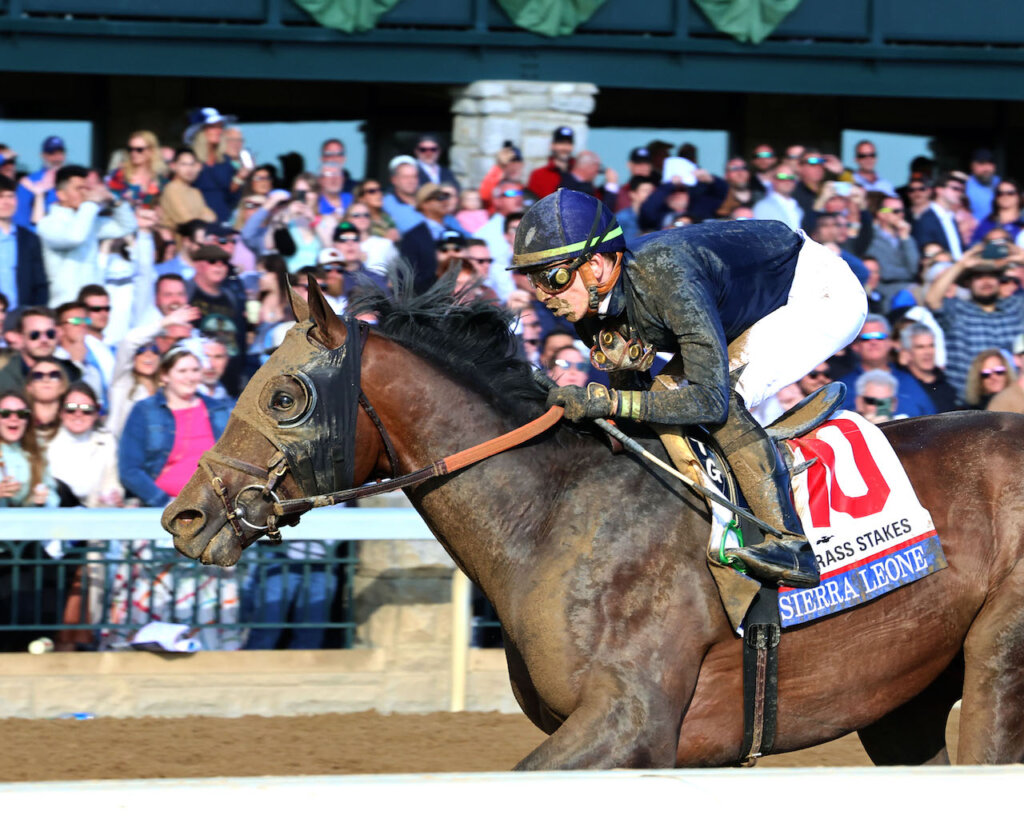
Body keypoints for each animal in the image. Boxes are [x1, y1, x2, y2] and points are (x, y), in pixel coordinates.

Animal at [161, 278, 1024, 769]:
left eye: (285, 396)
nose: (185, 513)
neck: (554, 517)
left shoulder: (632, 719)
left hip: (996, 660)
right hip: (903, 698)